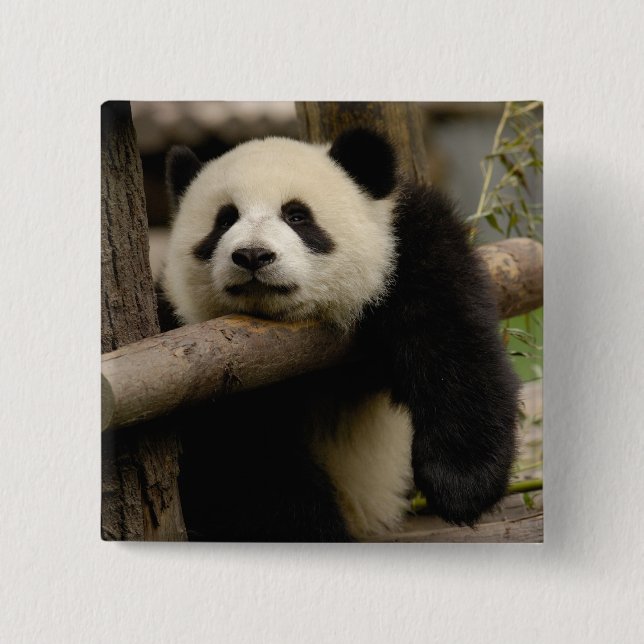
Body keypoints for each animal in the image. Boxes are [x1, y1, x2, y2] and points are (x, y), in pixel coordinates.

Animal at [160, 127, 520, 542]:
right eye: (224, 220)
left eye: (297, 215)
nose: (252, 255)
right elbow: (244, 461)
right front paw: (314, 528)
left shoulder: (406, 247)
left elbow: (452, 339)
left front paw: (461, 485)